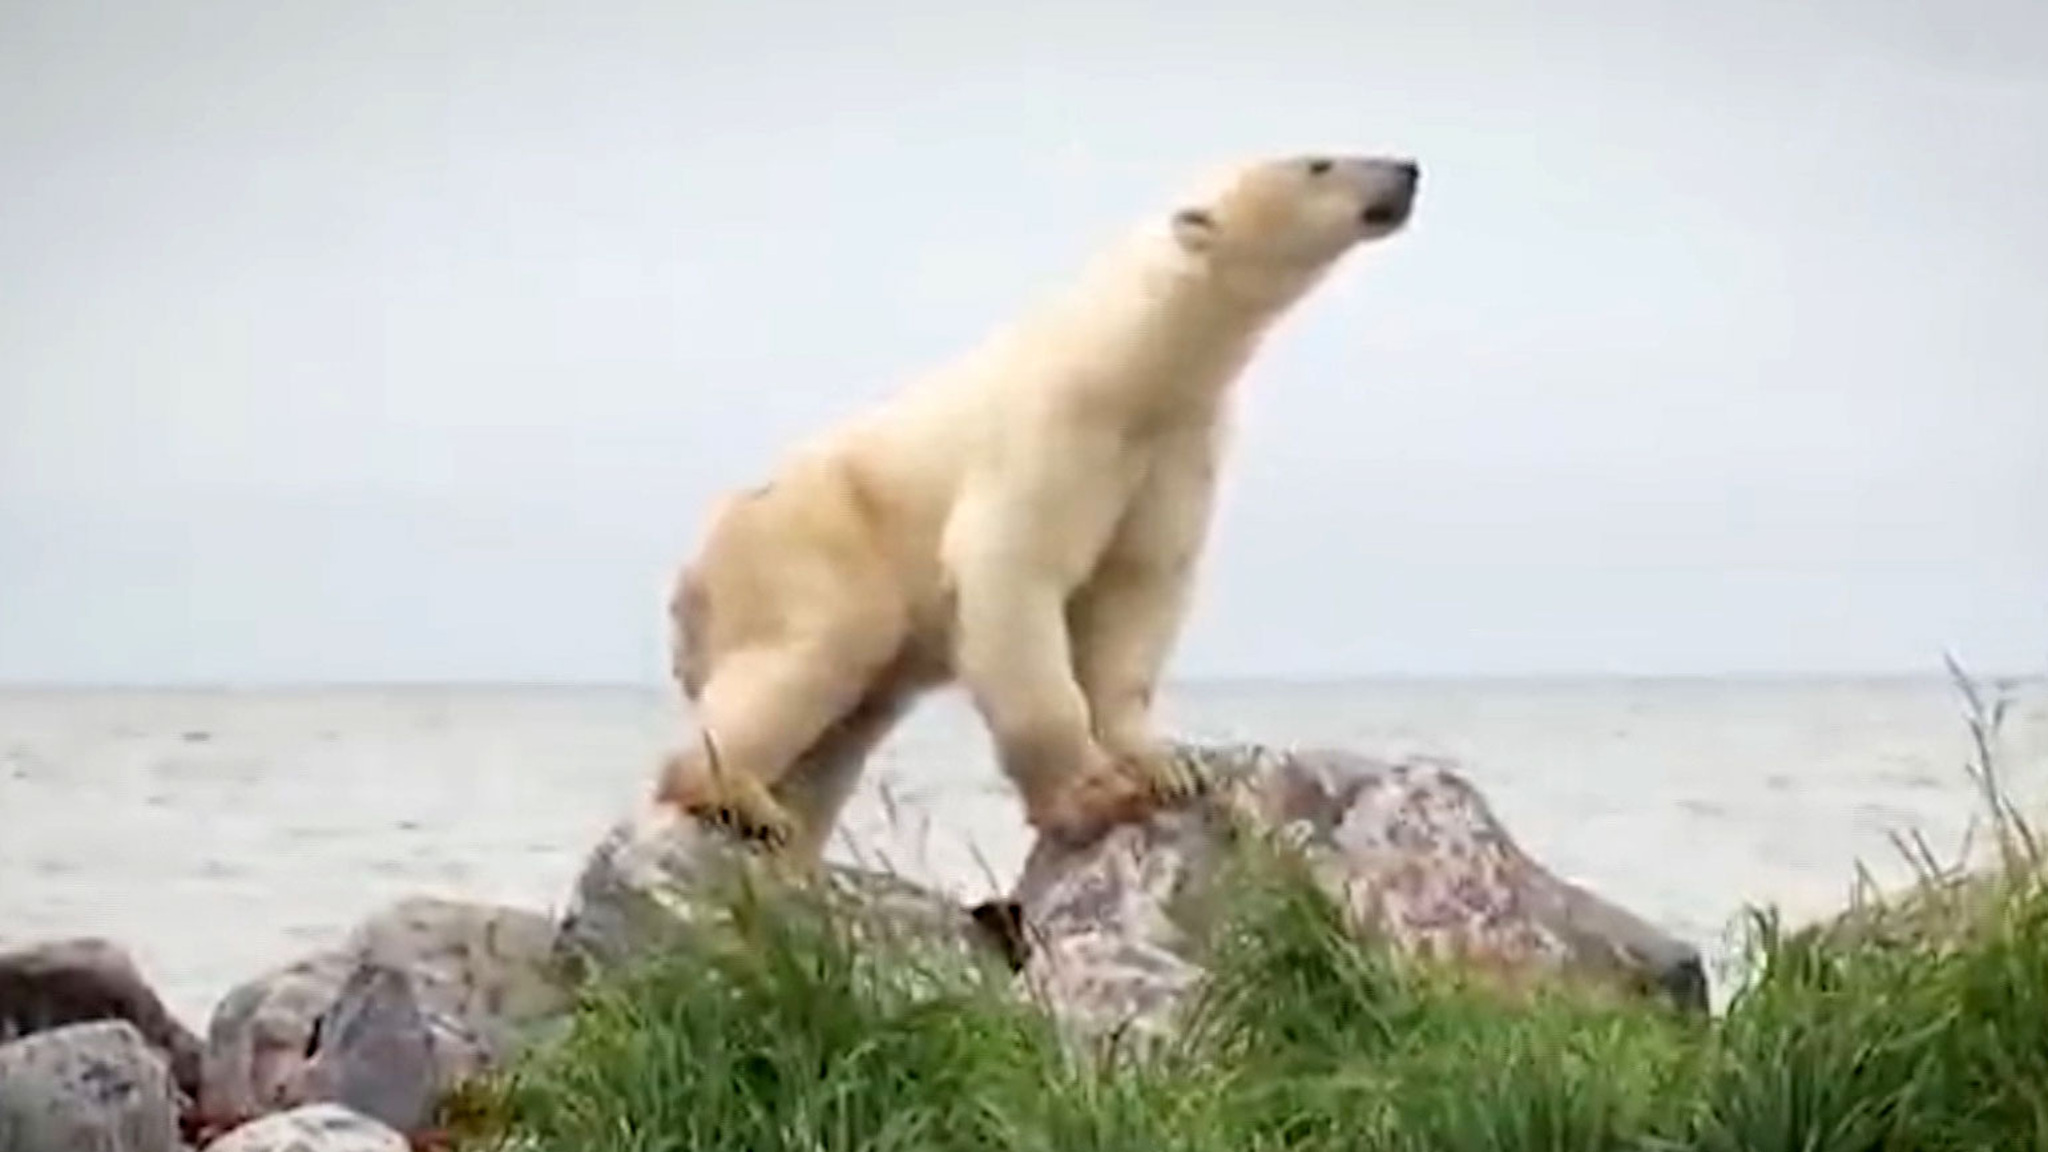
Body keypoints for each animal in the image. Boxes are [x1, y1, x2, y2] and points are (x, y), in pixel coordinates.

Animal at [654, 151, 1423, 867]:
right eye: (1318, 161)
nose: (1407, 170)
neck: (1129, 364)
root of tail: (691, 577)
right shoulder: (1052, 432)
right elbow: (1015, 574)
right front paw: (1092, 794)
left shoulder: (1176, 447)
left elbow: (1138, 588)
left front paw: (1167, 766)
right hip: (809, 543)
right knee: (821, 645)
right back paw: (733, 795)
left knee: (847, 727)